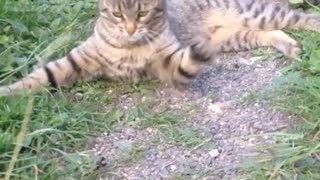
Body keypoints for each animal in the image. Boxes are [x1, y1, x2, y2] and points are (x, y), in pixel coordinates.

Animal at [0, 0, 320, 97]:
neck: (128, 46)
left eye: (142, 14)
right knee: (272, 33)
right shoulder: (76, 61)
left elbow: (185, 64)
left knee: (302, 17)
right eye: (117, 15)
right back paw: (290, 46)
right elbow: (39, 77)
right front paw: (7, 94)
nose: (130, 29)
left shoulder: (170, 61)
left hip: (260, 12)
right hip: (238, 36)